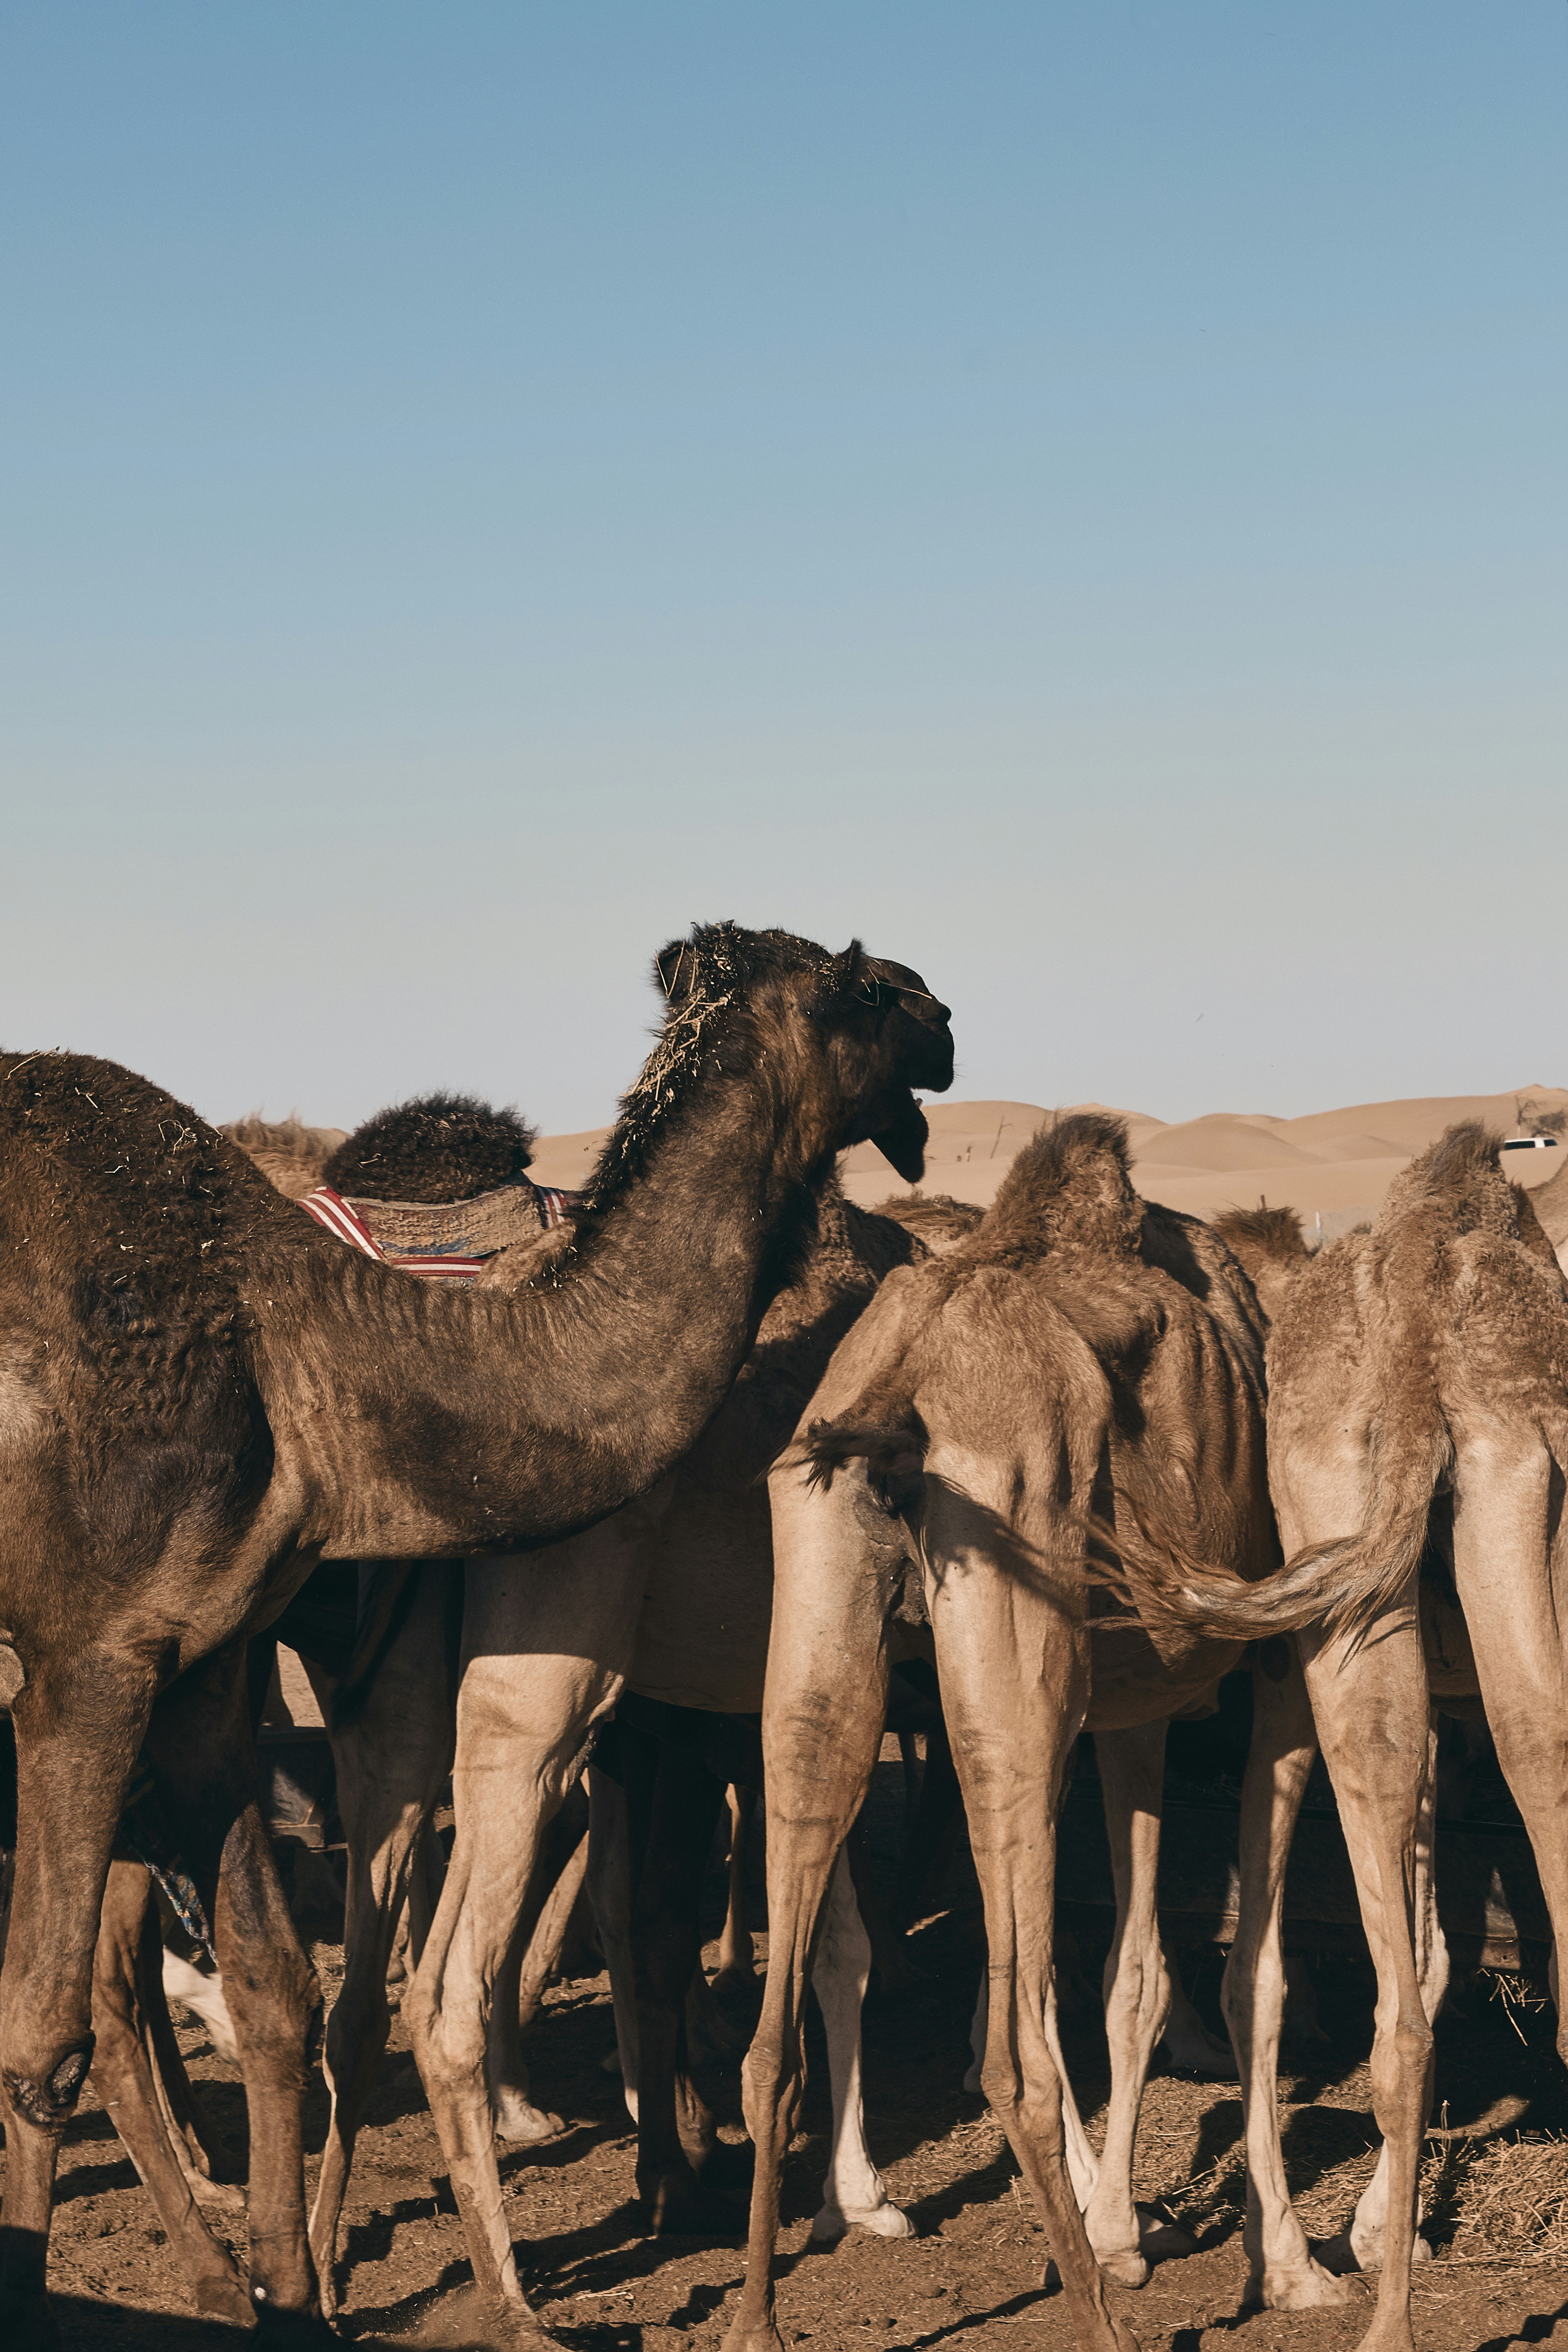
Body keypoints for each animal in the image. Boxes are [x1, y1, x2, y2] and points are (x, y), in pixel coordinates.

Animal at [0, 922, 953, 2346]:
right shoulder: (85, 1663)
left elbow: (277, 1989)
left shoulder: (205, 1662)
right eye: (867, 986)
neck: (301, 1344)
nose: (946, 1023)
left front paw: (297, 2296)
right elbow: (39, 2038)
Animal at [722, 1112, 1285, 2352]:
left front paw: (1124, 2221)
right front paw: (1182, 2245)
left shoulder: (1127, 1708)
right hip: (1015, 1577)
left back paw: (755, 2316)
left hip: (821, 1585)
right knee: (1012, 2052)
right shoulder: (1238, 1678)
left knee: (774, 2024)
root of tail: (903, 1379)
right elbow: (1187, 1971)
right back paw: (1096, 2322)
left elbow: (1123, 1967)